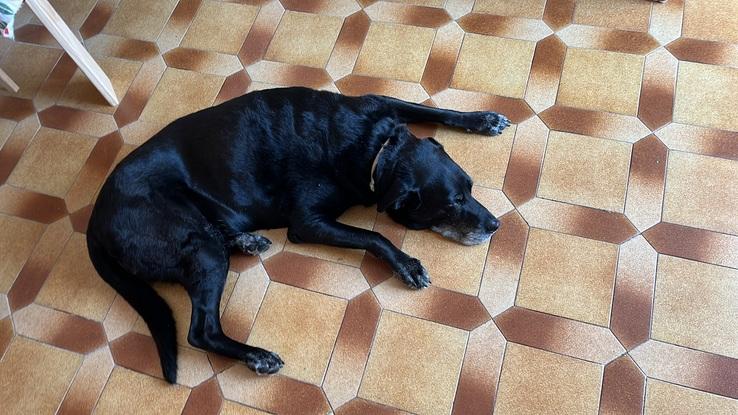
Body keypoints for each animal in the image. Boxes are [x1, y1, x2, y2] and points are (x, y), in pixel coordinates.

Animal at [87, 87, 506, 384]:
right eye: (452, 204)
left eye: (470, 187)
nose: (495, 225)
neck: (373, 150)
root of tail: (94, 218)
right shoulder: (307, 221)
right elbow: (374, 237)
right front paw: (406, 264)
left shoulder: (381, 103)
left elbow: (427, 108)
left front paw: (482, 118)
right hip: (197, 247)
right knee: (200, 331)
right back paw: (256, 355)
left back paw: (246, 241)